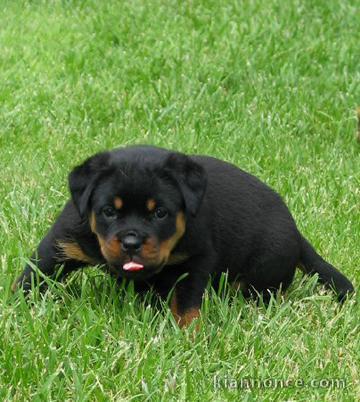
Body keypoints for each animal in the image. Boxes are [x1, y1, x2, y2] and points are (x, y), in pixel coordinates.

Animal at [11, 144, 354, 326]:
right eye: (108, 211)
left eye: (160, 213)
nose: (132, 242)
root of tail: (296, 230)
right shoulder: (63, 240)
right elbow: (34, 275)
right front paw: (16, 309)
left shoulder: (197, 256)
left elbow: (187, 302)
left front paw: (188, 334)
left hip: (262, 272)